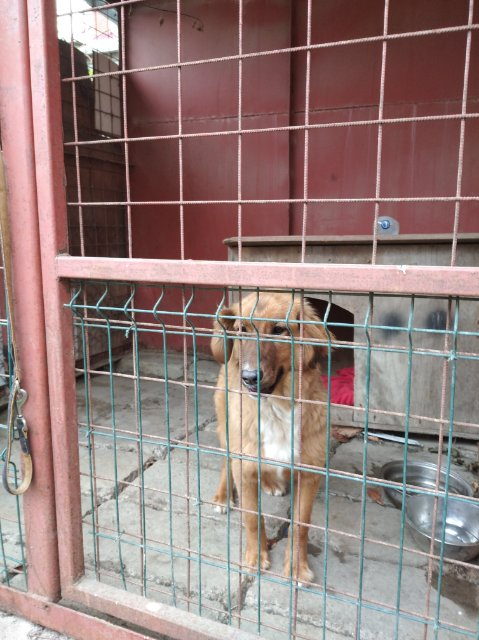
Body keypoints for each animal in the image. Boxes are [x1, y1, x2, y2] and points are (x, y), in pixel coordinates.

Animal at [211, 292, 329, 584]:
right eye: (242, 330)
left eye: (278, 330)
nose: (249, 378)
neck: (275, 407)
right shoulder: (243, 465)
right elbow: (253, 518)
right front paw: (255, 558)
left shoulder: (309, 473)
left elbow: (300, 525)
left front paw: (297, 567)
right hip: (227, 429)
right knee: (226, 463)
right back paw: (223, 497)